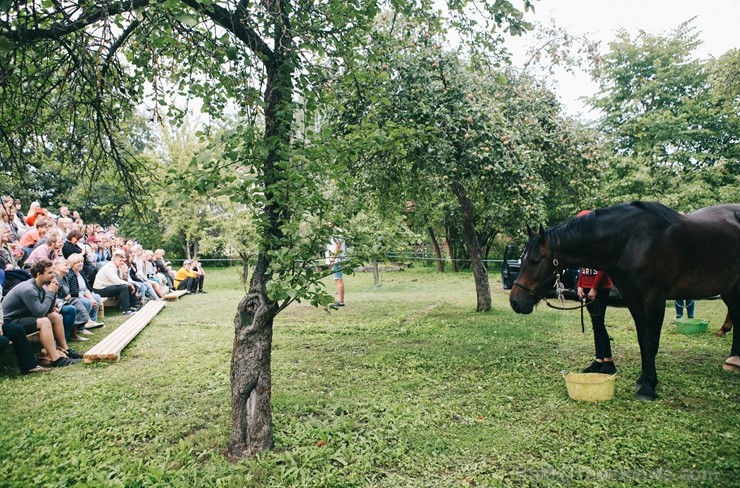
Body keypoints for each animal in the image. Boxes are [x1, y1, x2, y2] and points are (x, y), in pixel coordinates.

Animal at [508, 201, 740, 400]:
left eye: (535, 261)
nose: (515, 302)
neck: (632, 242)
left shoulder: (654, 299)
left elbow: (650, 341)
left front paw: (648, 387)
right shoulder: (633, 298)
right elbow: (642, 340)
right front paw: (644, 379)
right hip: (730, 288)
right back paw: (733, 360)